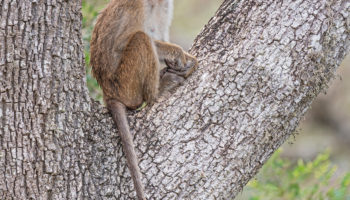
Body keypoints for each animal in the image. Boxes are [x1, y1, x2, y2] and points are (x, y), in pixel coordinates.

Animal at [89, 0, 200, 199]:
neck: (154, 3)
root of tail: (109, 93)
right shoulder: (135, 6)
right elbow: (120, 44)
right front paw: (177, 53)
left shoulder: (166, 6)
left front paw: (188, 60)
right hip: (126, 84)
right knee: (141, 38)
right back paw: (157, 93)